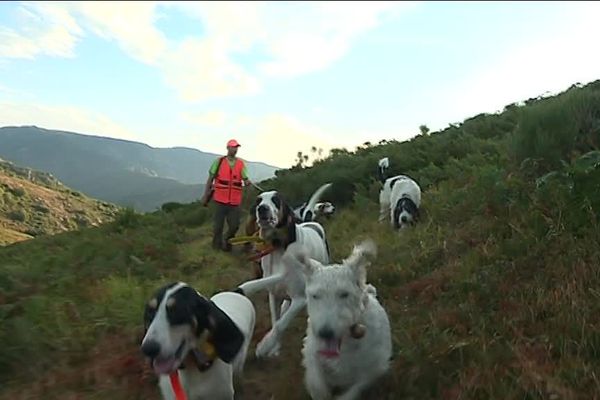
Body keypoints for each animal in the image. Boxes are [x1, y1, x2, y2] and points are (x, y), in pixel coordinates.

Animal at [236, 191, 330, 360]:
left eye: (276, 200)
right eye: (258, 201)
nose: (262, 208)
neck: (277, 247)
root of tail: (310, 223)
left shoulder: (300, 298)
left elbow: (281, 324)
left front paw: (265, 346)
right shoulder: (273, 294)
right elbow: (276, 321)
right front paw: (274, 346)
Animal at [284, 239, 394, 398]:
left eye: (344, 294)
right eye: (315, 296)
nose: (325, 333)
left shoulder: (376, 367)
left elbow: (355, 389)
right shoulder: (311, 353)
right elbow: (316, 382)